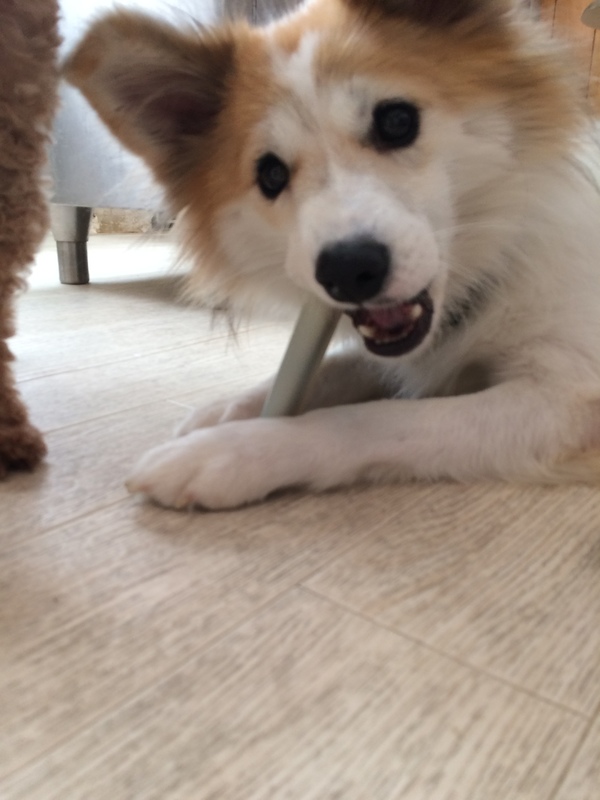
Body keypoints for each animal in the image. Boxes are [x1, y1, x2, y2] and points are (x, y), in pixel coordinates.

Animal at [64, 0, 600, 510]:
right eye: (271, 175)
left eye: (397, 122)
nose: (348, 270)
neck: (499, 253)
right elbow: (335, 366)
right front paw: (227, 411)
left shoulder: (564, 401)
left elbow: (374, 419)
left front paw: (231, 449)